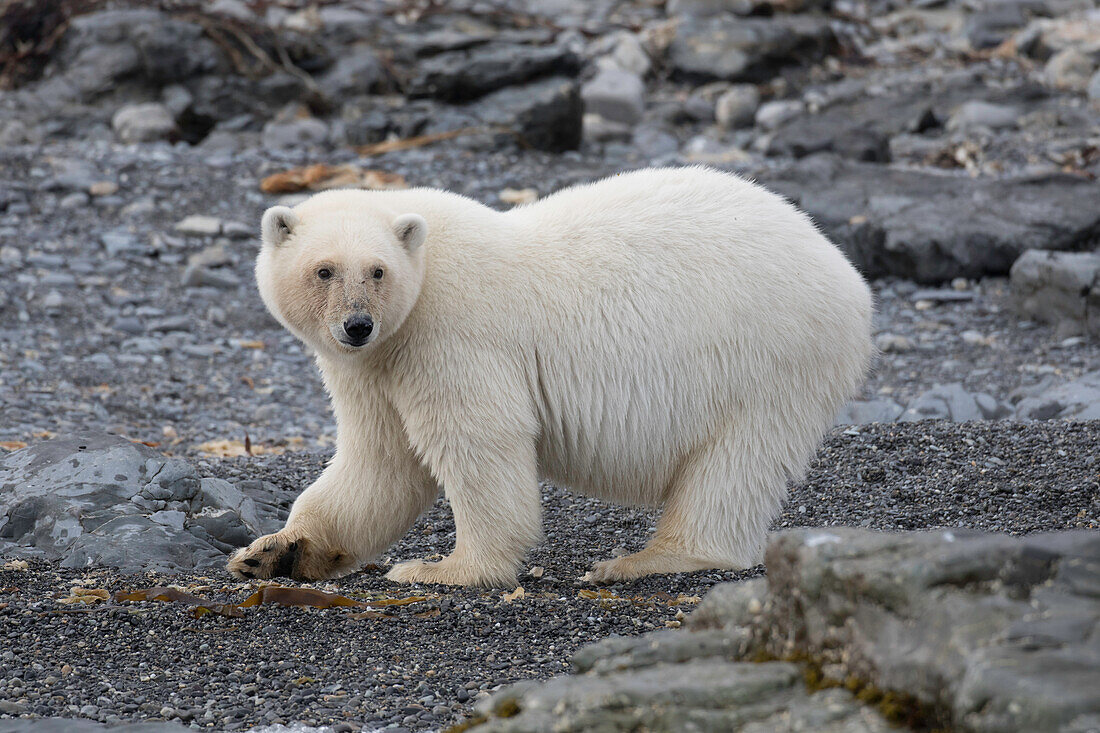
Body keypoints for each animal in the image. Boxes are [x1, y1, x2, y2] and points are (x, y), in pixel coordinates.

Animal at [227, 167, 871, 589]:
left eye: (377, 271)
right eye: (324, 270)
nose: (356, 325)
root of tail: (848, 276)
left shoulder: (450, 333)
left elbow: (478, 441)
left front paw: (444, 569)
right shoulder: (376, 366)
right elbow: (380, 459)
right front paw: (275, 552)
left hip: (766, 352)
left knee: (736, 458)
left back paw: (643, 560)